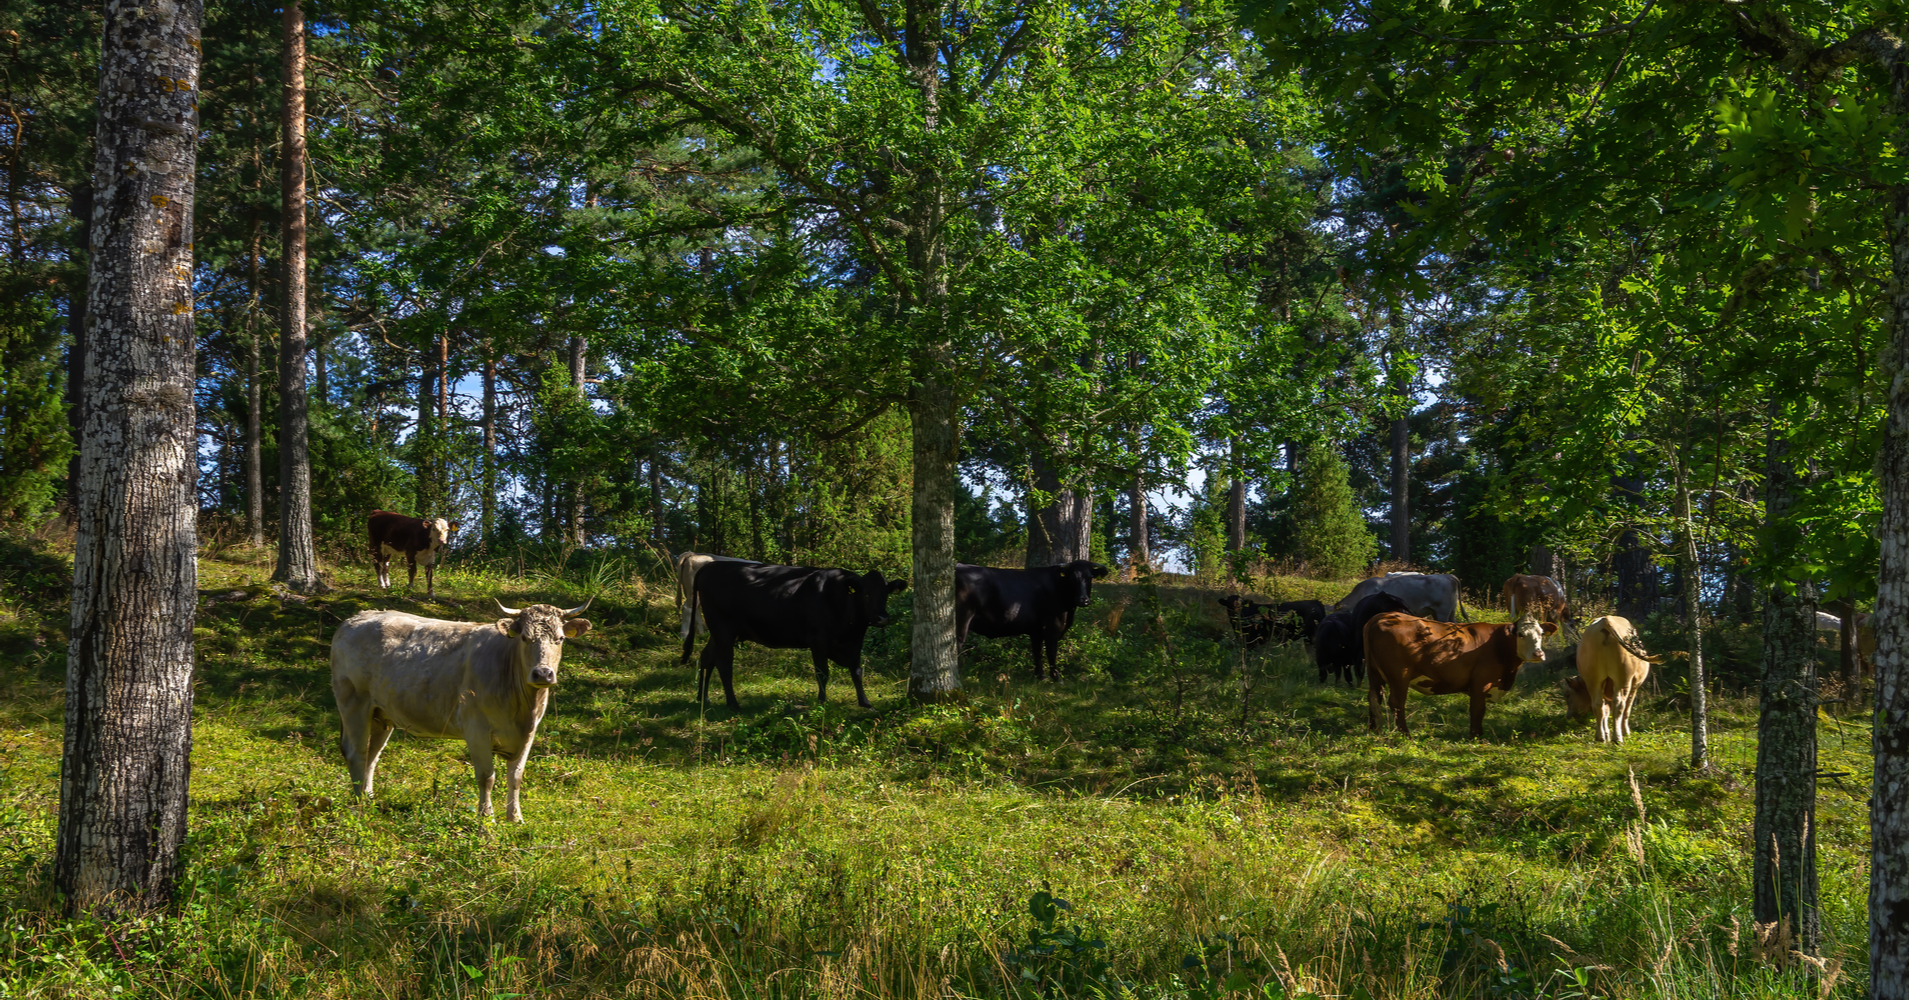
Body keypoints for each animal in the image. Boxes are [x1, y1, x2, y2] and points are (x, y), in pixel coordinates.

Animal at [330, 599, 592, 821]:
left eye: (560, 639)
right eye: (525, 638)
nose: (543, 674)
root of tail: (357, 618)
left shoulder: (529, 731)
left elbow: (516, 777)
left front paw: (515, 819)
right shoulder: (476, 728)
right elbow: (487, 777)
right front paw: (487, 821)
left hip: (381, 714)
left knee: (372, 755)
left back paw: (369, 798)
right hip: (353, 703)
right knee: (356, 753)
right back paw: (359, 806)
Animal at [683, 561, 907, 709]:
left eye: (886, 594)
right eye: (866, 594)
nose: (882, 618)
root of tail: (712, 565)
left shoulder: (854, 643)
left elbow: (857, 672)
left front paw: (865, 702)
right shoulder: (818, 641)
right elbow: (823, 673)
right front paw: (821, 701)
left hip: (718, 633)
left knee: (707, 658)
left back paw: (703, 698)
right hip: (724, 630)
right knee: (724, 665)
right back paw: (733, 704)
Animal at [956, 561, 1110, 680]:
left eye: (1090, 577)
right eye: (1071, 577)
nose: (1083, 600)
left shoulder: (1036, 631)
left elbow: (1037, 652)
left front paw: (1040, 675)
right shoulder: (1052, 628)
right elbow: (1051, 653)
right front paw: (1056, 677)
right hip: (962, 621)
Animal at [1365, 613, 1555, 738]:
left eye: (1541, 634)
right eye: (1521, 634)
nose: (1538, 654)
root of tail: (1382, 616)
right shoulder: (1481, 682)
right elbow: (1477, 710)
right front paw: (1476, 737)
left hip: (1374, 674)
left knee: (1374, 698)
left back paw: (1374, 730)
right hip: (1399, 676)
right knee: (1396, 703)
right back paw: (1405, 735)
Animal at [1561, 615, 1663, 744]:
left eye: (1567, 695)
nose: (1567, 716)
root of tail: (1606, 619)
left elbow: (1605, 711)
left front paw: (1606, 733)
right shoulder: (1634, 685)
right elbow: (1627, 708)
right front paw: (1625, 731)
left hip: (1593, 679)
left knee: (1598, 704)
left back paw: (1600, 737)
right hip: (1623, 679)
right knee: (1620, 704)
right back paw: (1617, 737)